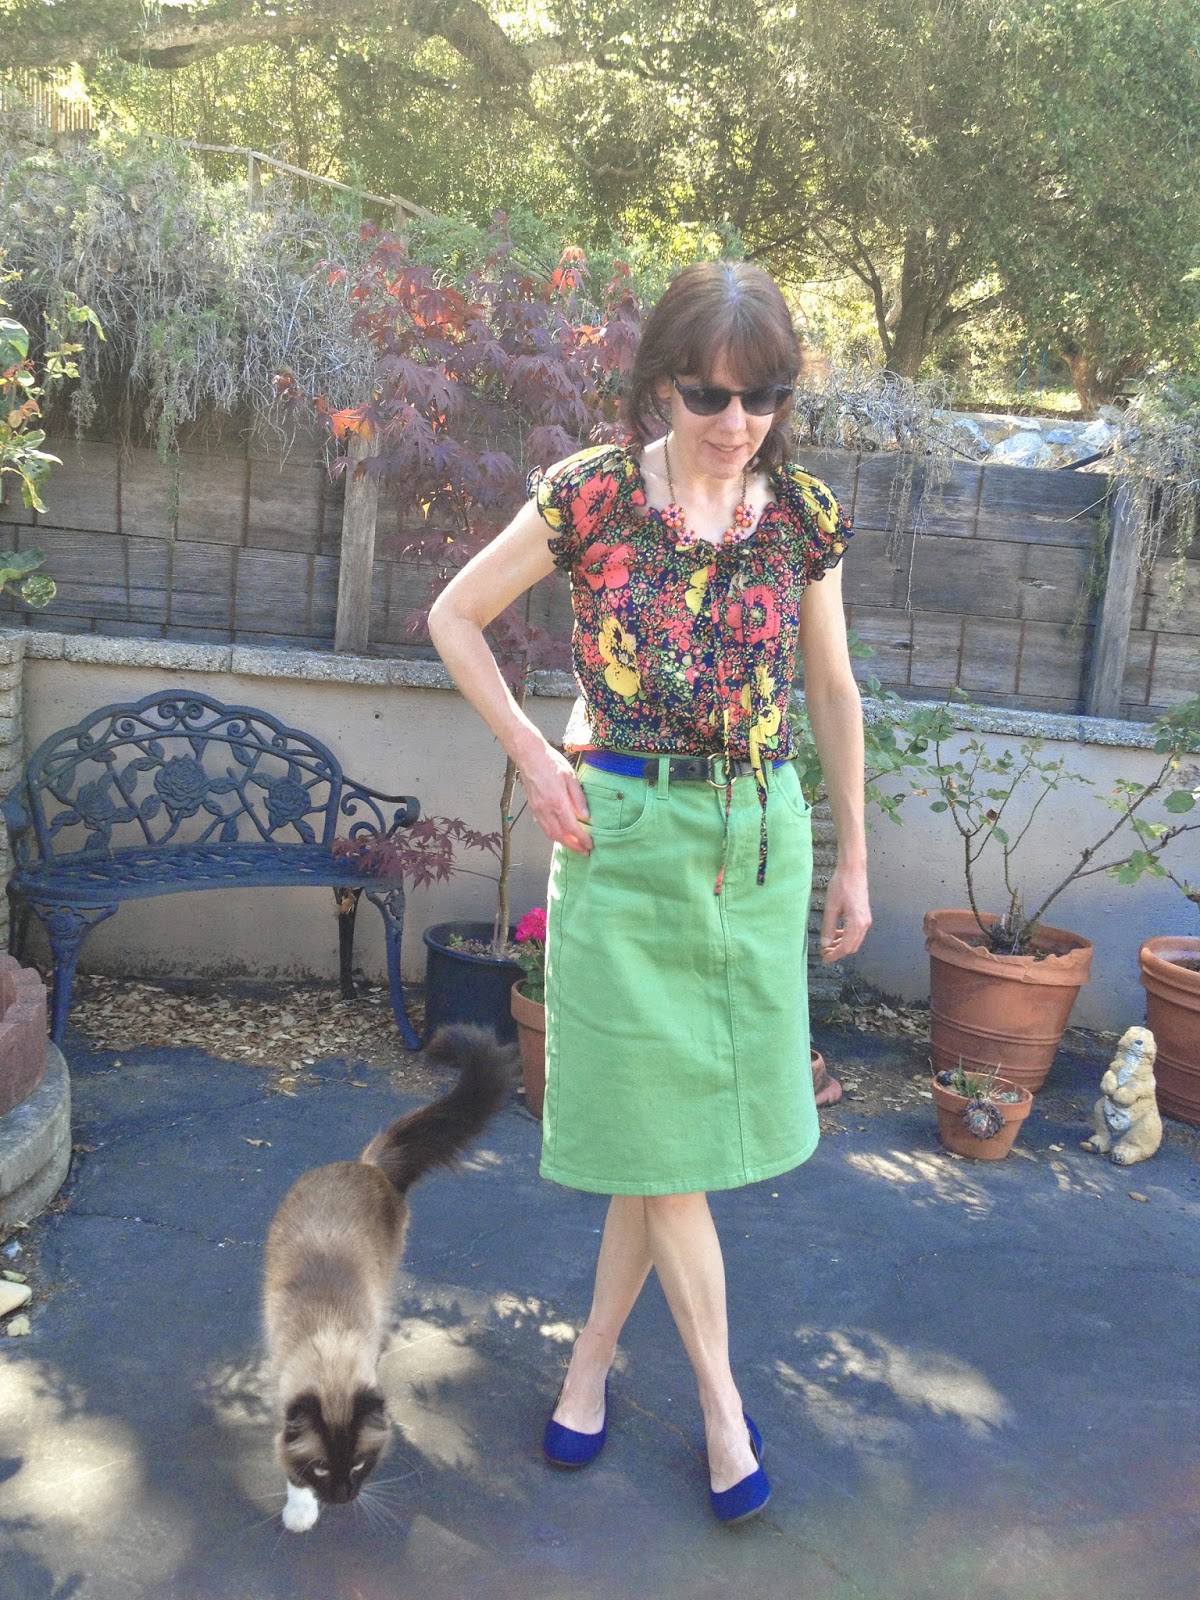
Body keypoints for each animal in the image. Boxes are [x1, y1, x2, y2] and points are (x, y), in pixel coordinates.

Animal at [261, 1024, 513, 1532]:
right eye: (321, 1468)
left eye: (359, 1464)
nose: (342, 1498)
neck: (329, 1339)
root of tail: (367, 1164)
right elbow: (288, 1465)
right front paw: (300, 1513)